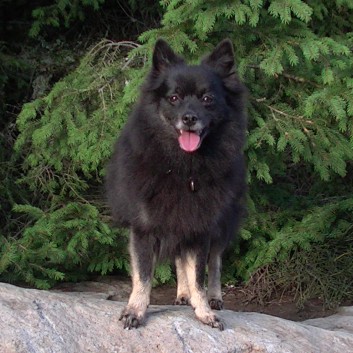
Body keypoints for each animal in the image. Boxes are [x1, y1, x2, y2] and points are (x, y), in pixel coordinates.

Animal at [106, 39, 246, 330]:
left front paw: (204, 310)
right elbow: (143, 276)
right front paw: (135, 310)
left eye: (207, 99)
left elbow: (200, 276)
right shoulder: (146, 229)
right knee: (180, 260)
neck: (183, 168)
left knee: (215, 263)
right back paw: (183, 294)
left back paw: (213, 297)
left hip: (222, 223)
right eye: (174, 98)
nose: (189, 118)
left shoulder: (200, 228)